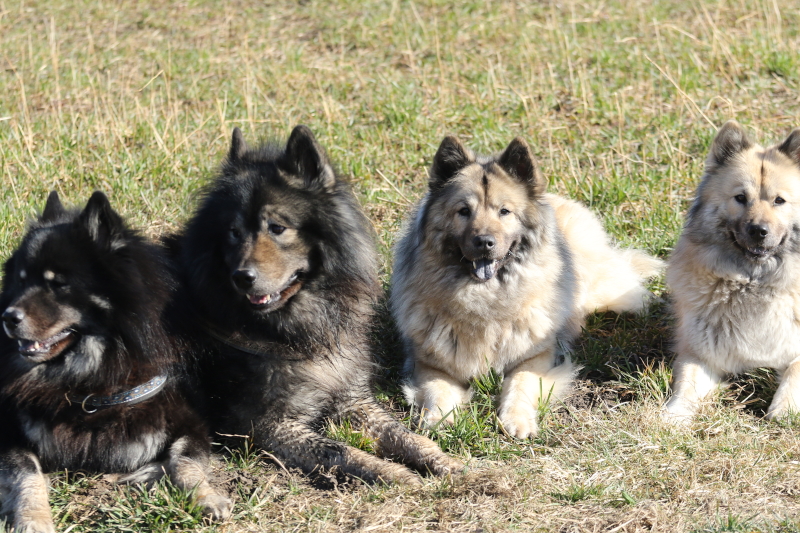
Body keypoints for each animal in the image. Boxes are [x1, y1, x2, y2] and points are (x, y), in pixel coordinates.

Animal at [0, 191, 231, 532]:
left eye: (59, 284)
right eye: (20, 281)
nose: (7, 317)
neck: (90, 374)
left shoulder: (190, 423)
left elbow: (186, 460)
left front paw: (206, 497)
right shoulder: (9, 432)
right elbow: (27, 475)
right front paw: (33, 519)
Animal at [664, 121, 800, 424]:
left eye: (779, 201)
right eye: (740, 198)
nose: (759, 231)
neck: (754, 284)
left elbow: (795, 373)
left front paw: (783, 410)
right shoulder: (700, 355)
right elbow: (686, 385)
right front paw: (675, 415)